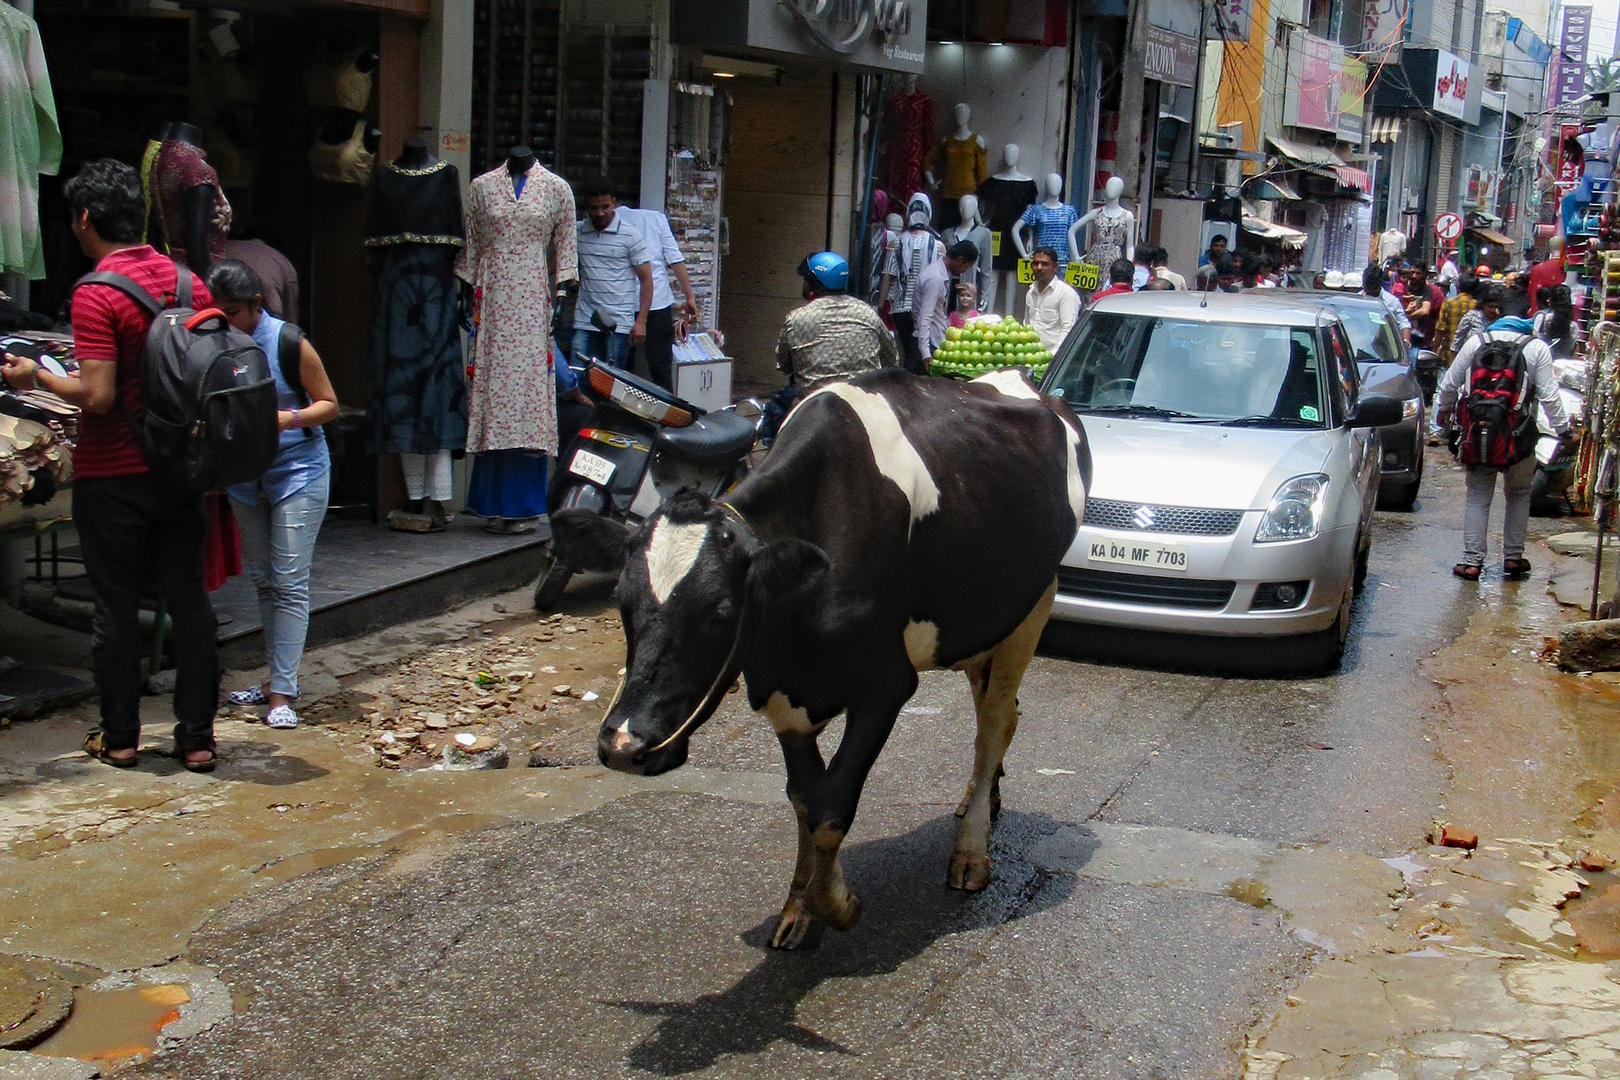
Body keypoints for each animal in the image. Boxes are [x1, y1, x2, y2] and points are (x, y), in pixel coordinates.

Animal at [550, 367, 1095, 952]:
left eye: (720, 610)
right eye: (621, 601)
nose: (623, 744)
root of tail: (1025, 382)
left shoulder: (885, 686)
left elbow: (832, 808)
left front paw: (837, 905)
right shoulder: (785, 696)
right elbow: (805, 801)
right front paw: (797, 907)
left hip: (1035, 602)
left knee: (994, 721)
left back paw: (971, 851)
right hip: (979, 622)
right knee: (998, 713)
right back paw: (981, 797)